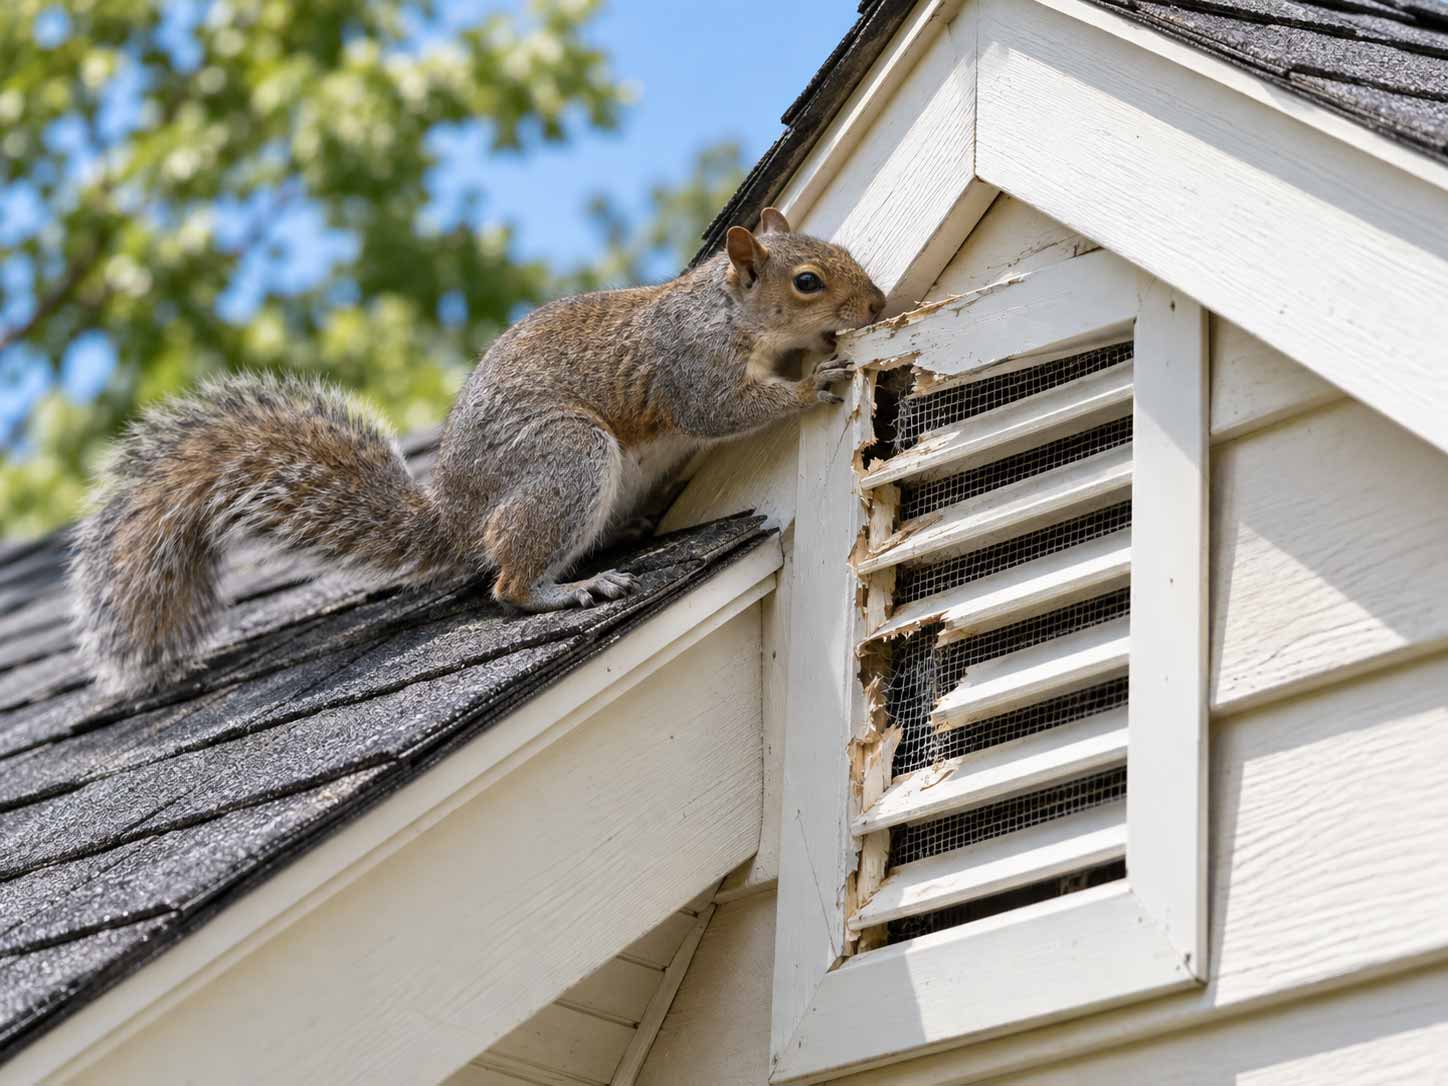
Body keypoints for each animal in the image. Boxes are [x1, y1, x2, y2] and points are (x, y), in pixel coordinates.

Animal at [68, 207, 886, 695]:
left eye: (844, 251)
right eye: (807, 281)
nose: (876, 304)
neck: (729, 314)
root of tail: (454, 513)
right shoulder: (692, 368)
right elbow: (723, 410)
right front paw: (815, 381)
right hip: (567, 456)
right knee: (507, 576)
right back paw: (567, 588)